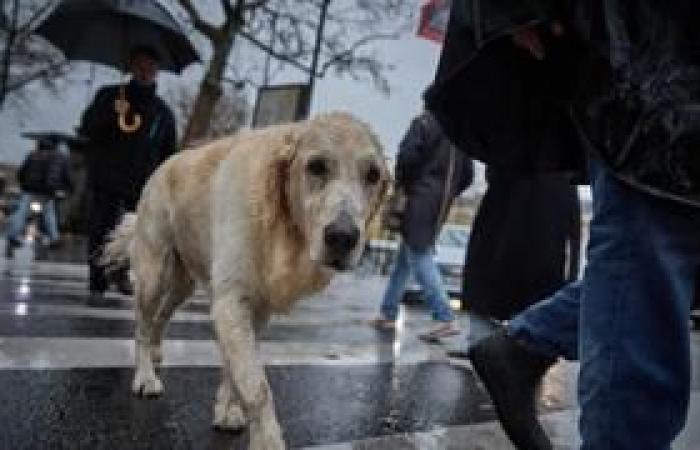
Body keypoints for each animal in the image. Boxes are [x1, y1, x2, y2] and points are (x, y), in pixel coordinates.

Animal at [101, 112, 388, 450]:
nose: (343, 237)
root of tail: (167, 162)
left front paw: (228, 410)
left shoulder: (253, 308)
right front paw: (267, 441)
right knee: (143, 326)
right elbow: (256, 384)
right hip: (154, 275)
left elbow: (235, 370)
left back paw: (157, 354)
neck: (279, 221)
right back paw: (145, 376)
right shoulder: (231, 302)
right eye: (316, 166)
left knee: (161, 316)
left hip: (183, 284)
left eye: (373, 175)